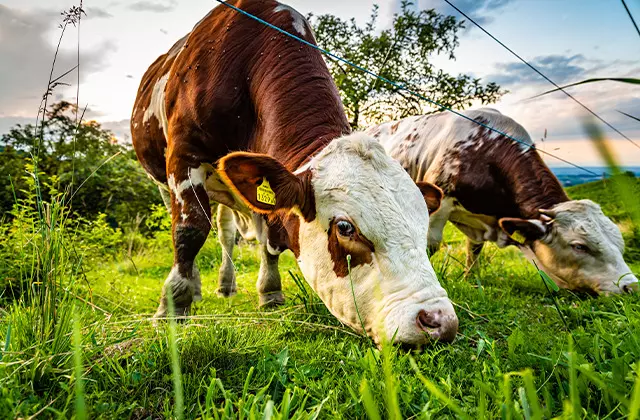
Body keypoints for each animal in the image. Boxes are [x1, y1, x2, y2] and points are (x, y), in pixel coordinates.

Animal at [131, 0, 460, 346]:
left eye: (423, 222)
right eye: (345, 228)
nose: (438, 321)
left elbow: (269, 240)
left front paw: (270, 293)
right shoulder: (183, 154)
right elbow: (190, 229)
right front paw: (173, 305)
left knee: (227, 230)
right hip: (162, 179)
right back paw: (192, 288)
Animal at [368, 106, 636, 294]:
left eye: (620, 242)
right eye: (579, 246)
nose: (631, 286)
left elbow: (474, 249)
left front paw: (470, 280)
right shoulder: (441, 200)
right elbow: (430, 244)